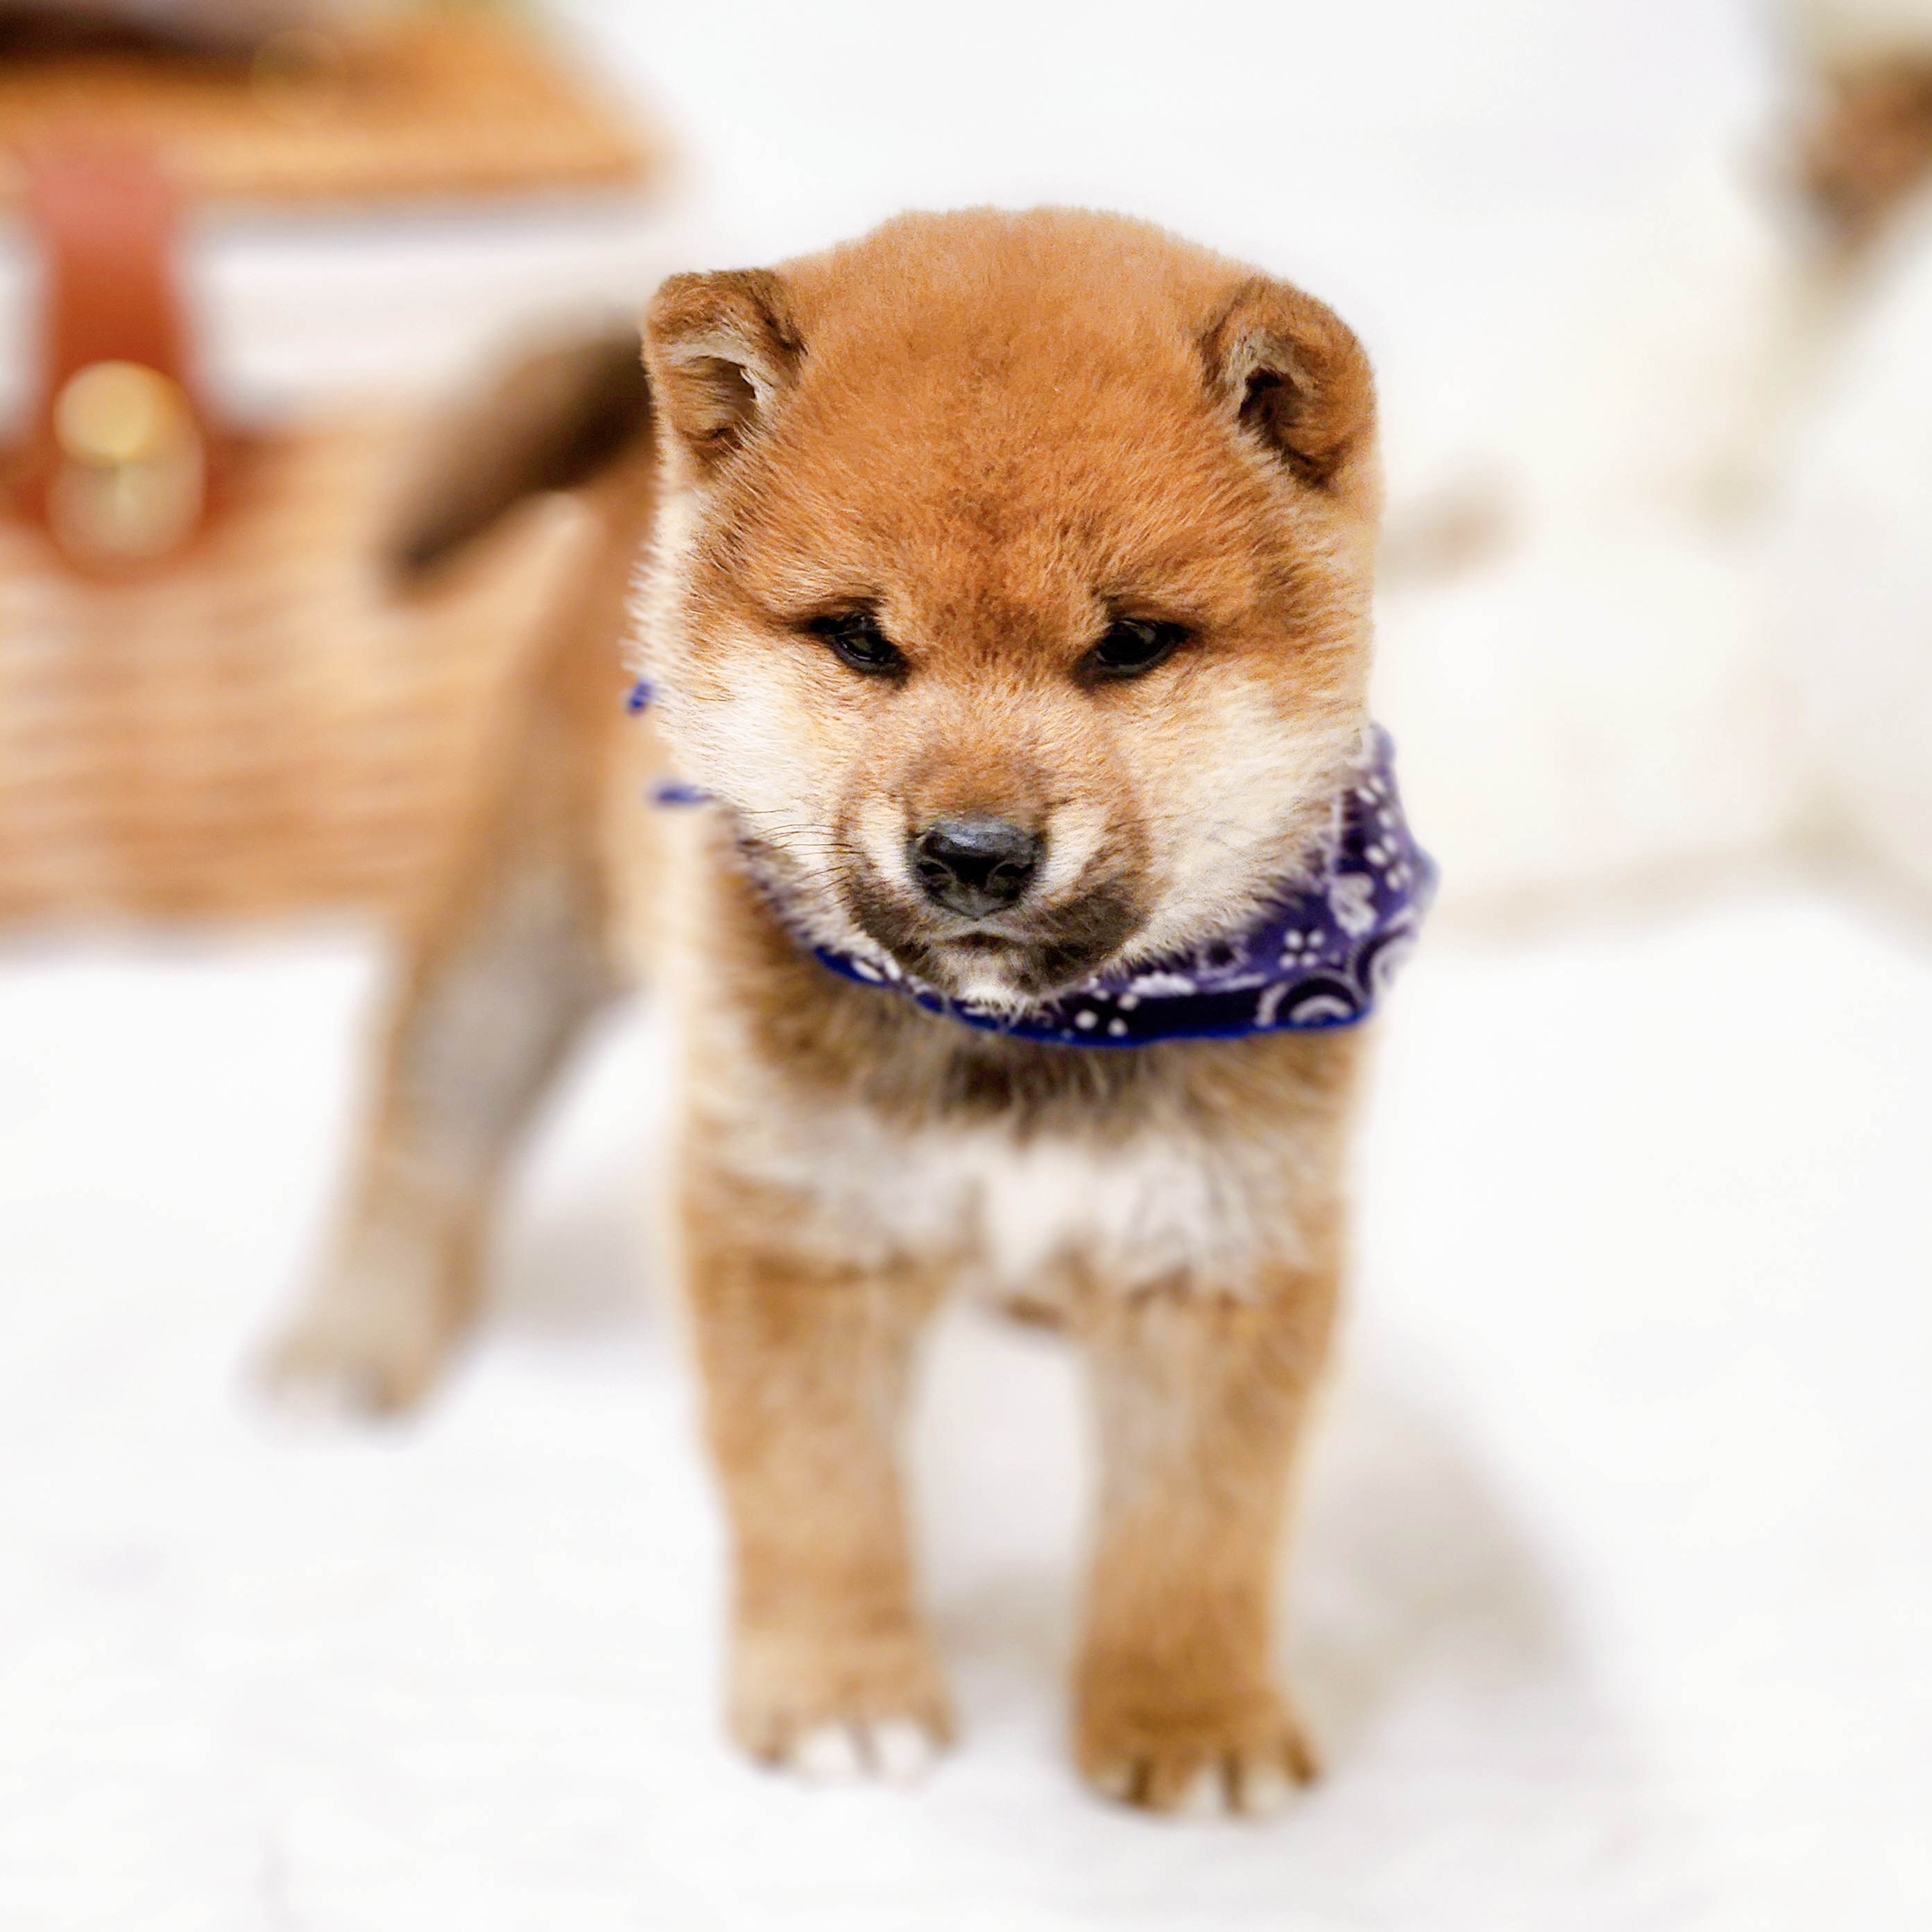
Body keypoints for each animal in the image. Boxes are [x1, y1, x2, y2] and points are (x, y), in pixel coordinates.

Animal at [268, 208, 1431, 1814]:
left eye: (1131, 644)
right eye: (861, 642)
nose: (975, 853)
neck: (1031, 1038)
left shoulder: (1218, 1252)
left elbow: (1193, 1534)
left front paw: (1187, 1720)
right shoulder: (798, 1231)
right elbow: (822, 1495)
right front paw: (841, 1694)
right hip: (522, 934)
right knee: (421, 1117)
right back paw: (351, 1335)